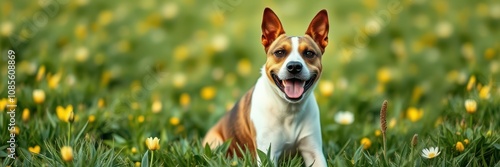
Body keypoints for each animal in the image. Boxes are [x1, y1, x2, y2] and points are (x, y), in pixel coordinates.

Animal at [203, 7, 328, 167]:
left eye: (309, 53)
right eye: (279, 52)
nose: (294, 66)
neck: (289, 109)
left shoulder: (313, 151)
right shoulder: (267, 154)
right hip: (216, 142)